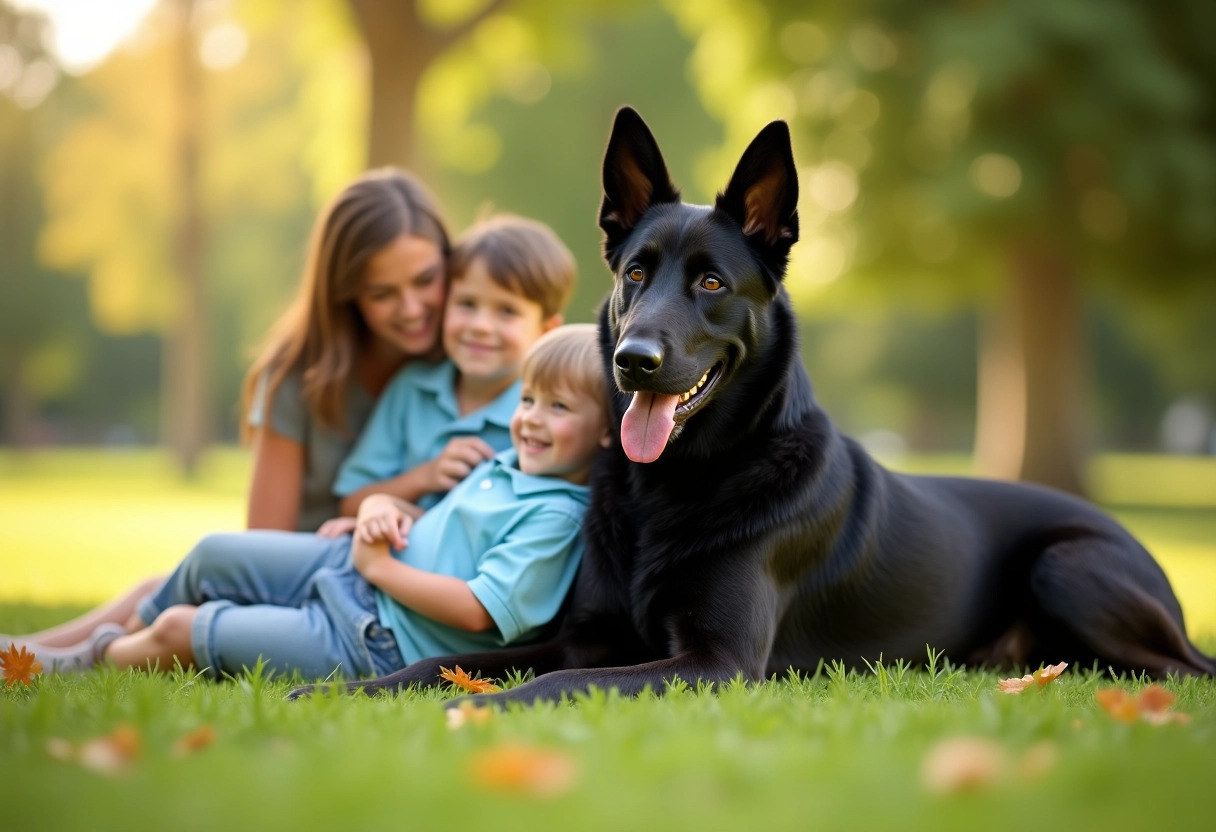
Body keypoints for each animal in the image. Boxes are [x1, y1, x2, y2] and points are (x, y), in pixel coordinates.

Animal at [286, 107, 1216, 705]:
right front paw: (337, 691)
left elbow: (550, 682)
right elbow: (454, 663)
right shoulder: (591, 633)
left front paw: (473, 709)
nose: (633, 362)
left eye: (710, 284)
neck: (676, 486)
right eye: (636, 272)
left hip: (1071, 566)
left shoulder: (714, 661)